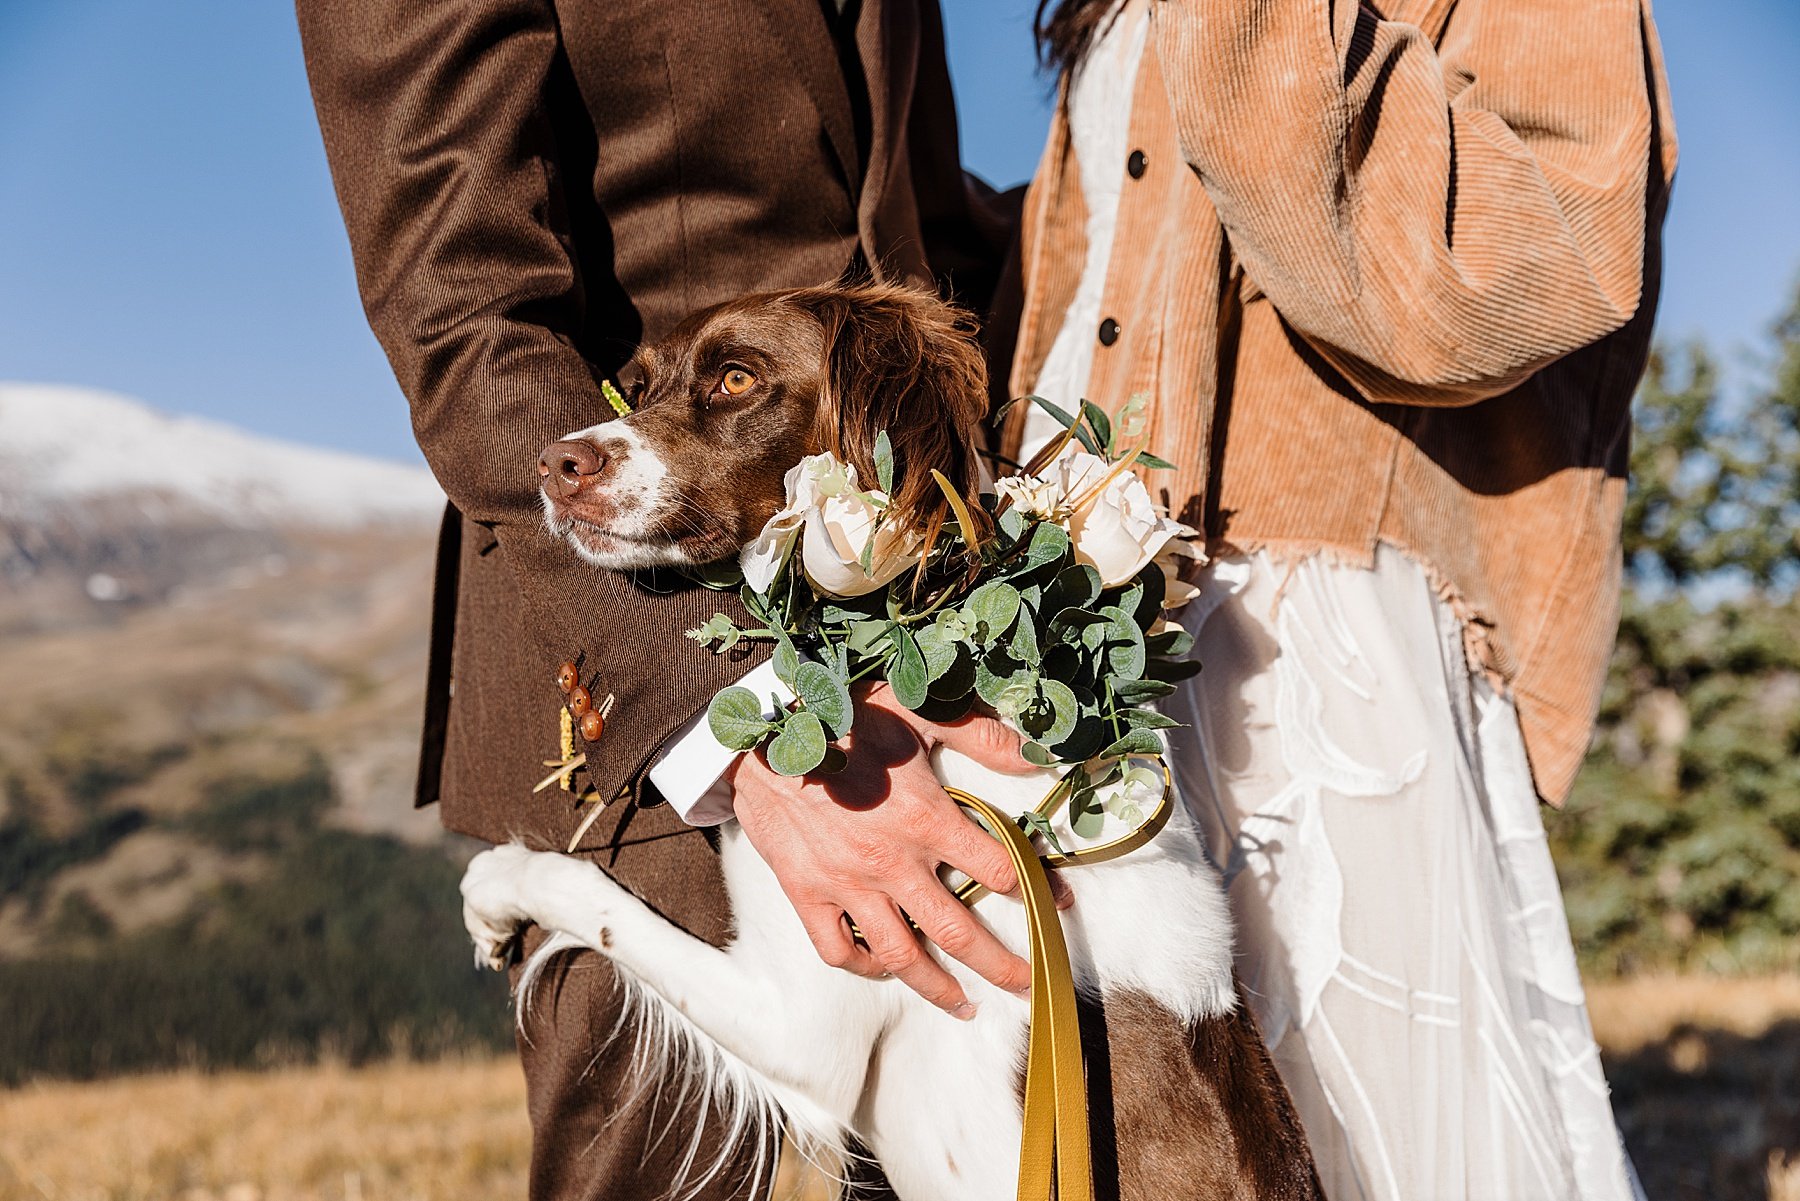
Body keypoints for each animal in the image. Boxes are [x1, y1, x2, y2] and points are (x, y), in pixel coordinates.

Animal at [460, 284, 1324, 1201]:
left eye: (736, 379)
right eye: (639, 385)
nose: (554, 464)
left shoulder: (809, 1018)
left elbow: (591, 894)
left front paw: (495, 889)